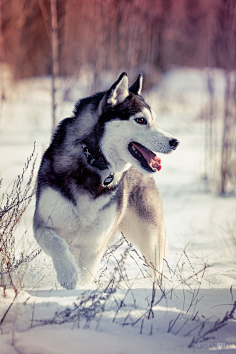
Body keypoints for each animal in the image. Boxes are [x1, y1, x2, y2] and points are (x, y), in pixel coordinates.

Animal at [33, 72, 179, 290]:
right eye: (141, 120)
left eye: (154, 120)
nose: (175, 142)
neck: (91, 162)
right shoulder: (43, 226)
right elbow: (57, 244)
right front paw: (68, 275)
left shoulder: (94, 244)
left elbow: (86, 274)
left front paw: (79, 287)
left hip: (151, 238)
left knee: (157, 269)